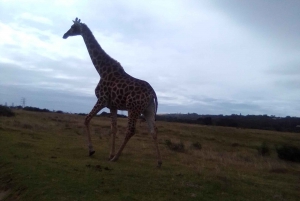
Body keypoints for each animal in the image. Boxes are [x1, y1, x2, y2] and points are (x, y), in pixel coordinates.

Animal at [62, 18, 163, 167]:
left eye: (73, 27)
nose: (65, 35)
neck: (102, 70)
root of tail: (152, 93)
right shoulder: (113, 106)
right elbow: (113, 128)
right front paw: (109, 154)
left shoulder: (102, 100)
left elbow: (86, 119)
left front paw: (92, 151)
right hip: (148, 110)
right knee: (153, 131)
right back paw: (159, 162)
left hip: (133, 108)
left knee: (131, 130)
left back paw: (116, 158)